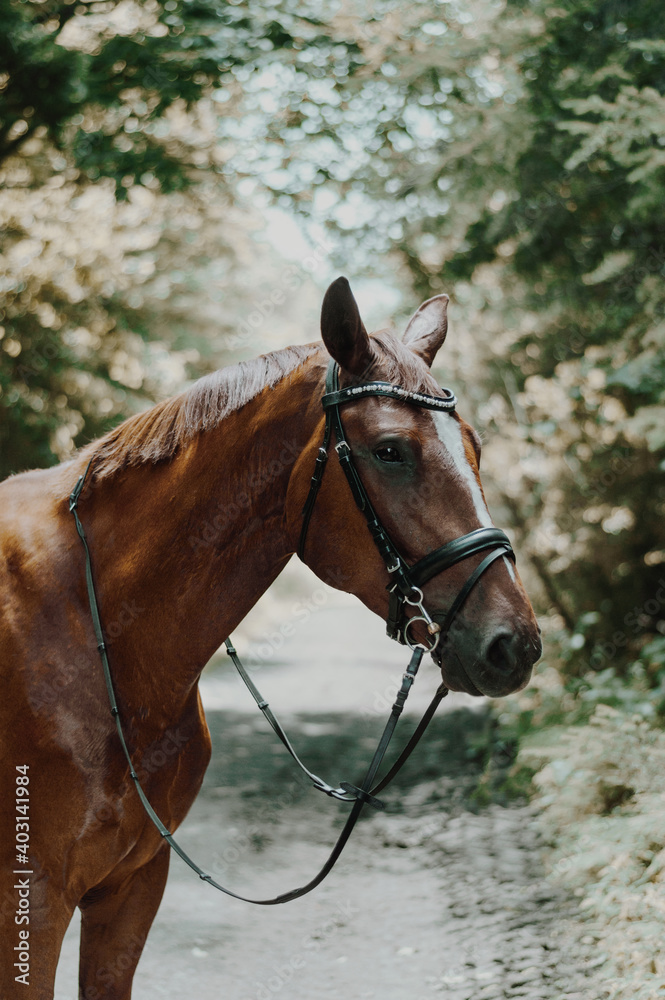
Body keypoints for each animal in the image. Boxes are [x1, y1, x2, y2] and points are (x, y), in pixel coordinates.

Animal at [0, 280, 540, 1000]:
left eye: (475, 447)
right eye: (390, 451)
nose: (514, 644)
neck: (98, 631)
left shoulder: (133, 884)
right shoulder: (32, 900)